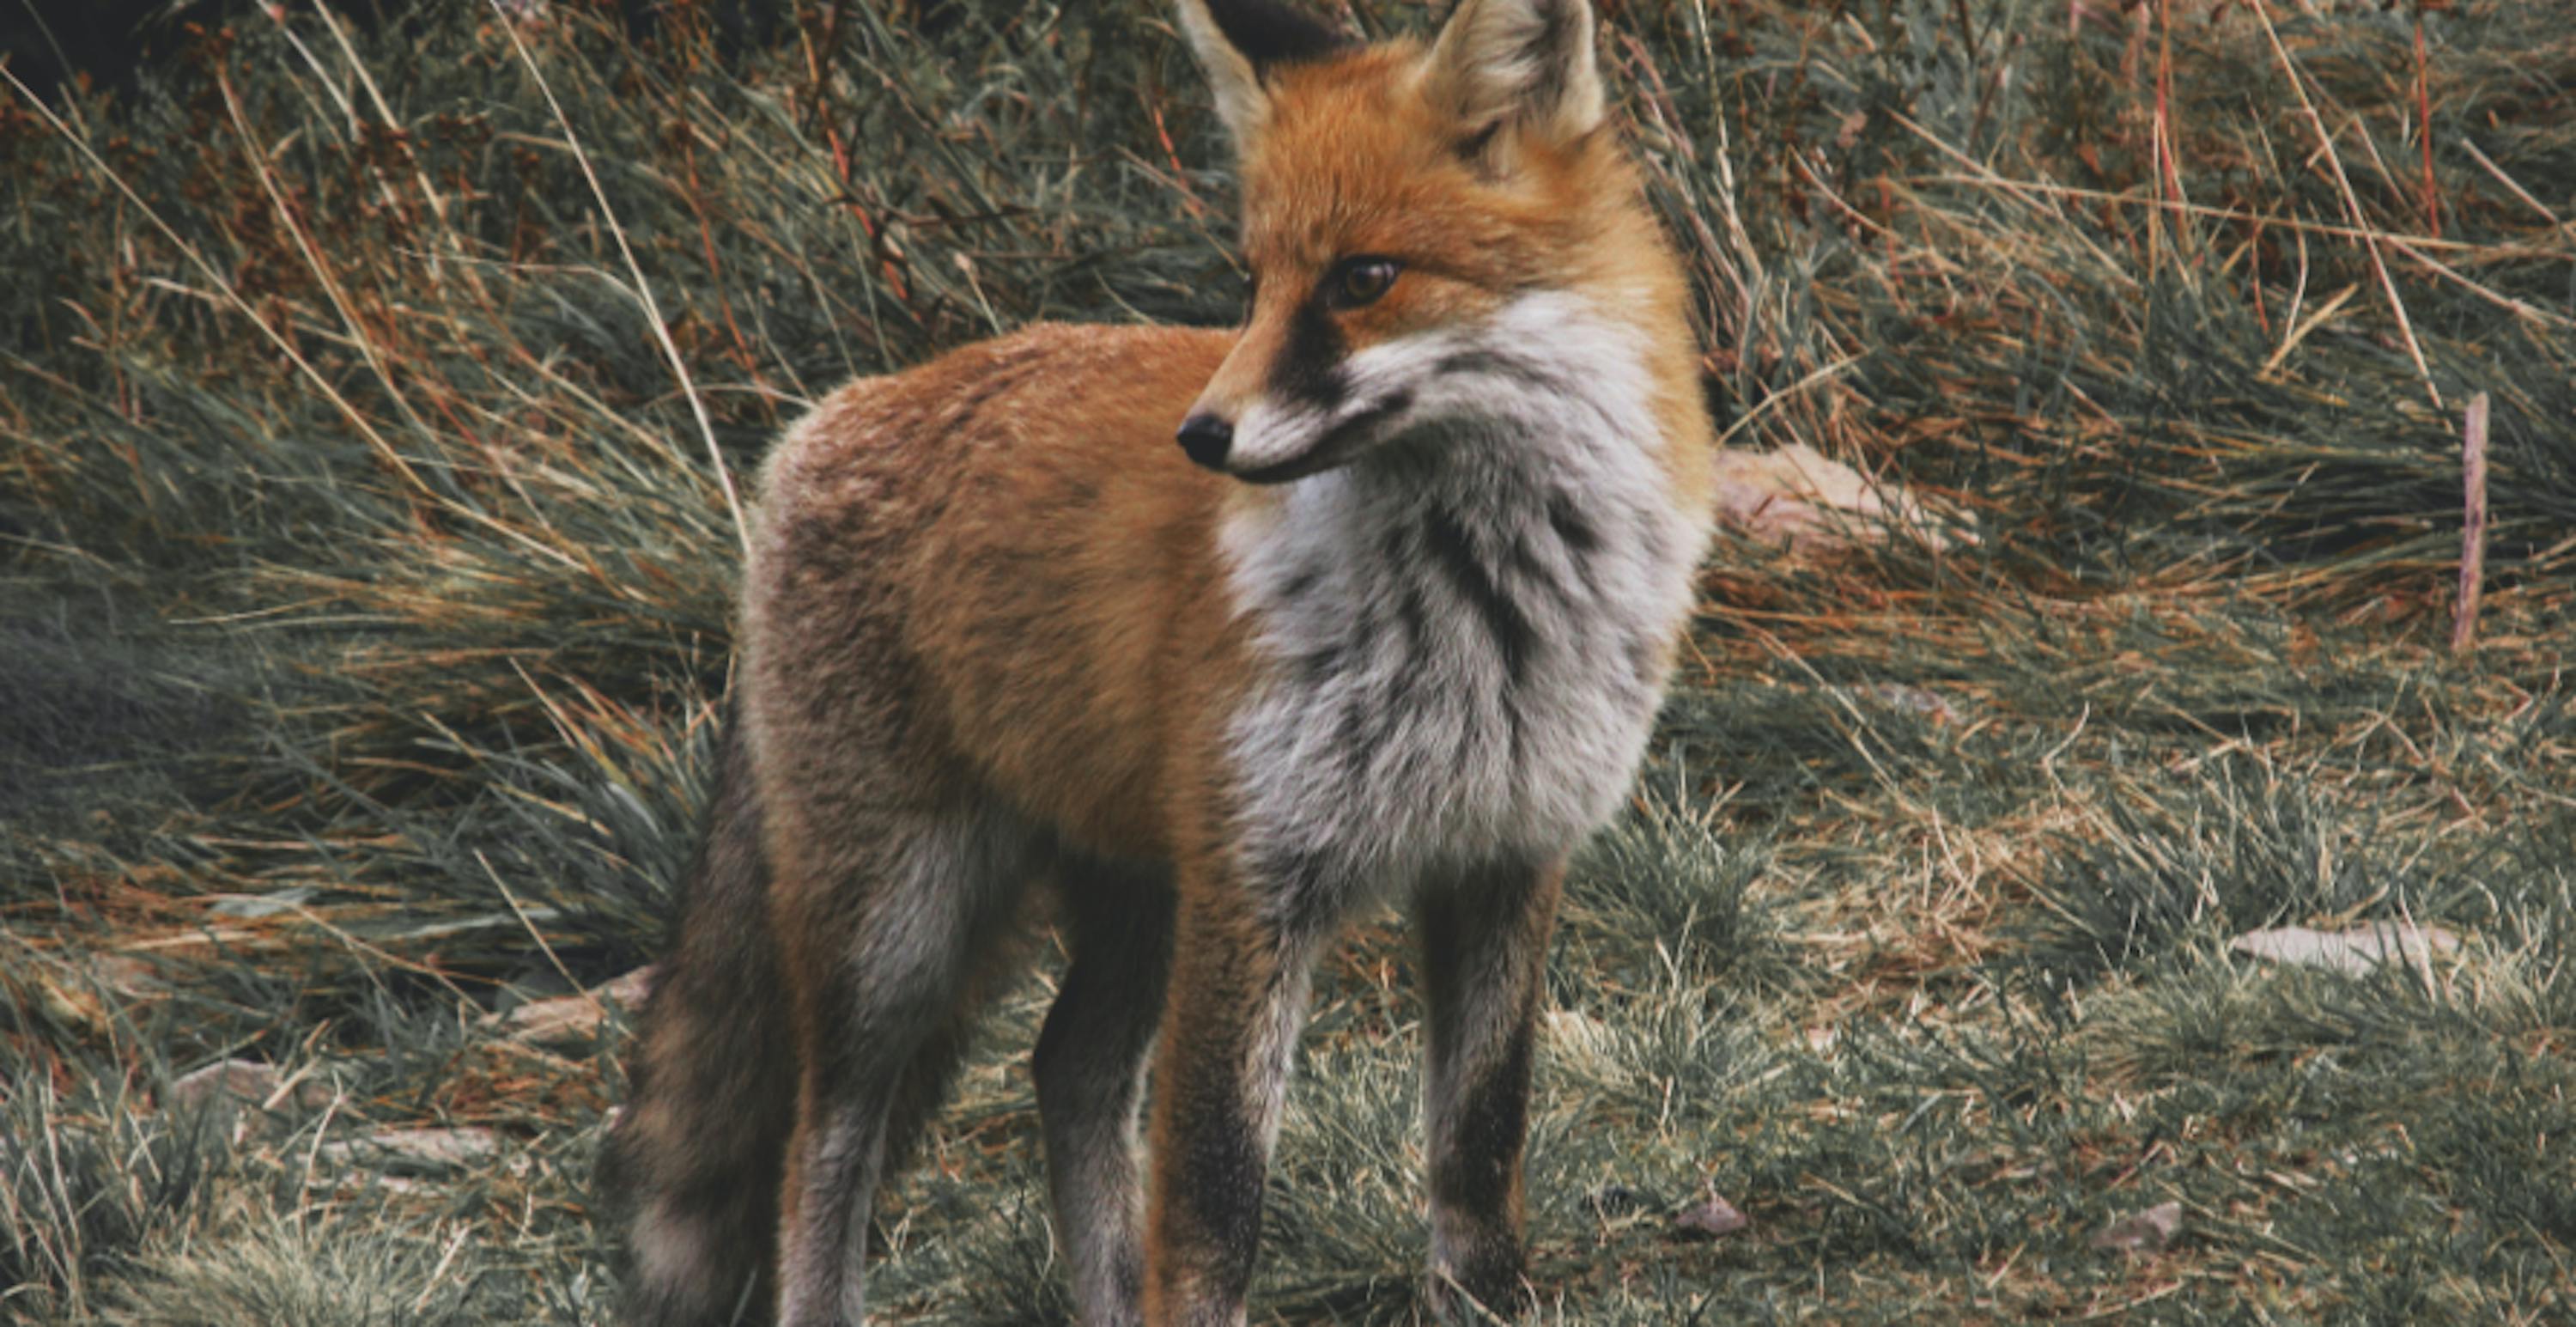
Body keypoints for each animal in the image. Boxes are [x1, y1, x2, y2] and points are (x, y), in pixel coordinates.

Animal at [600, 0, 1721, 1319]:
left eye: (1363, 279)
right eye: (1252, 281)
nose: (1203, 435)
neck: (1480, 609)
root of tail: (826, 421)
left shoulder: (1506, 854)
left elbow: (1480, 1147)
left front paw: (1486, 1297)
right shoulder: (1255, 882)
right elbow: (1211, 1204)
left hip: (1132, 893)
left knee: (1067, 1068)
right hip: (899, 929)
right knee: (821, 1142)